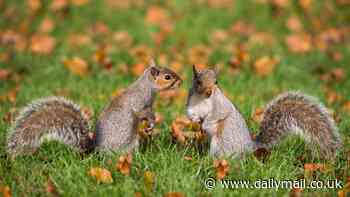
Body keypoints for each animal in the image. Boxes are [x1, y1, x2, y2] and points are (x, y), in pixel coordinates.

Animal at [6, 60, 182, 158]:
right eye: (167, 77)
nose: (181, 81)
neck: (146, 87)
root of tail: (96, 150)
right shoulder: (140, 105)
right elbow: (145, 114)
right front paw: (152, 123)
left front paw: (151, 126)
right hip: (130, 143)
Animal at [187, 65, 344, 159]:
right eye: (198, 82)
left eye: (216, 82)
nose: (209, 92)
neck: (202, 99)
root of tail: (250, 146)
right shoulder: (191, 103)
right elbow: (190, 113)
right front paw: (196, 121)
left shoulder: (221, 105)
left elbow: (219, 114)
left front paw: (206, 124)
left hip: (223, 141)